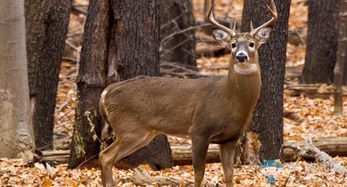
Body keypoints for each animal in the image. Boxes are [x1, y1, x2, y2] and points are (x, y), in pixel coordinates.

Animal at [99, 0, 278, 186]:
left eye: (251, 44)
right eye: (233, 45)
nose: (241, 56)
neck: (229, 98)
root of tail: (106, 92)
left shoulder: (230, 138)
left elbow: (229, 174)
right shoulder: (199, 130)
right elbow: (199, 172)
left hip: (143, 133)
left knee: (107, 157)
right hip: (130, 128)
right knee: (105, 156)